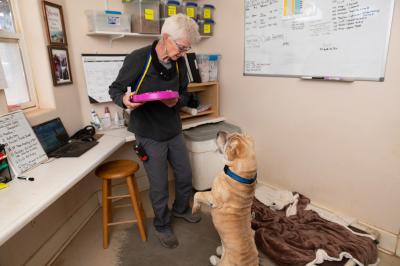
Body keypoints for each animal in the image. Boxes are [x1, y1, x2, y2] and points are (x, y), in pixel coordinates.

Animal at [192, 131, 258, 266]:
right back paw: (218, 251)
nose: (219, 132)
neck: (242, 176)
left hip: (225, 263)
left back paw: (214, 258)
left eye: (228, 140)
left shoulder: (212, 197)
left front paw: (195, 208)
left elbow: (197, 194)